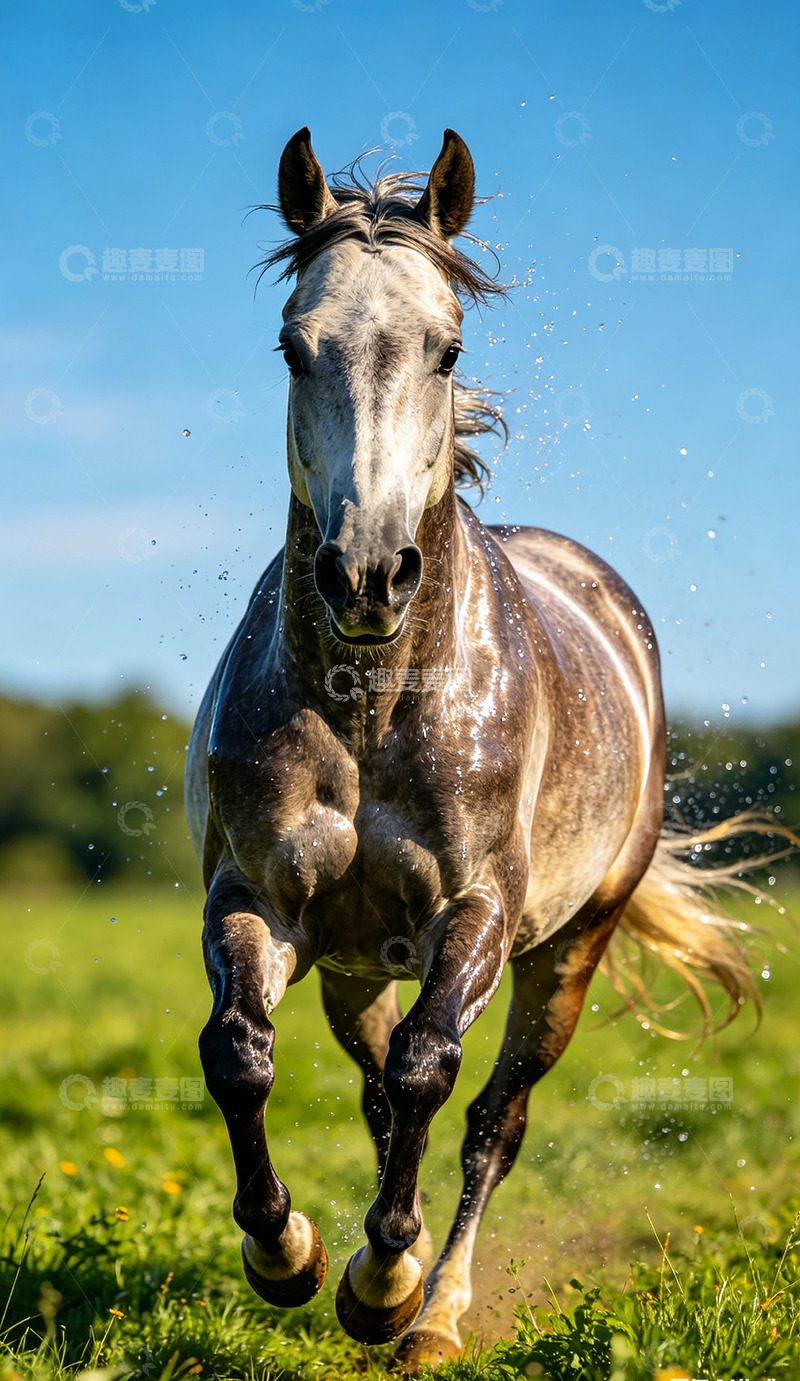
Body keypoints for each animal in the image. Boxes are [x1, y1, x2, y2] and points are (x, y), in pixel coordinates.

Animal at [185, 127, 756, 1372]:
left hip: (567, 950)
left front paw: (382, 1285)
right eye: (293, 345)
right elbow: (239, 1052)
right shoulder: (254, 894)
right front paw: (288, 1251)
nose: (365, 573)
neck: (371, 708)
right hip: (355, 962)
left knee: (493, 1117)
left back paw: (434, 1308)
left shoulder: (478, 914)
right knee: (370, 1081)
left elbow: (430, 1073)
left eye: (446, 348)